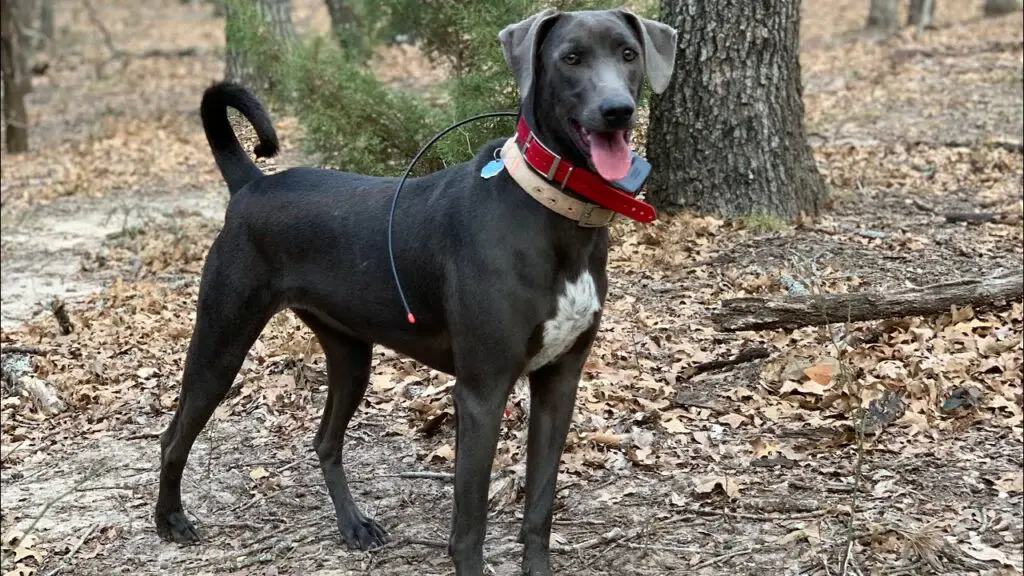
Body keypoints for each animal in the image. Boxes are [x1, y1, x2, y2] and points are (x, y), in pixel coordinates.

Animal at [155, 8, 675, 573]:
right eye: (571, 58)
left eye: (628, 53)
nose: (617, 110)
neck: (552, 210)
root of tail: (252, 182)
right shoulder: (481, 392)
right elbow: (469, 526)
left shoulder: (560, 381)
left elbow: (539, 507)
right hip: (221, 341)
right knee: (174, 435)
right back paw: (170, 521)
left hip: (350, 353)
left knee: (325, 440)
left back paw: (354, 526)